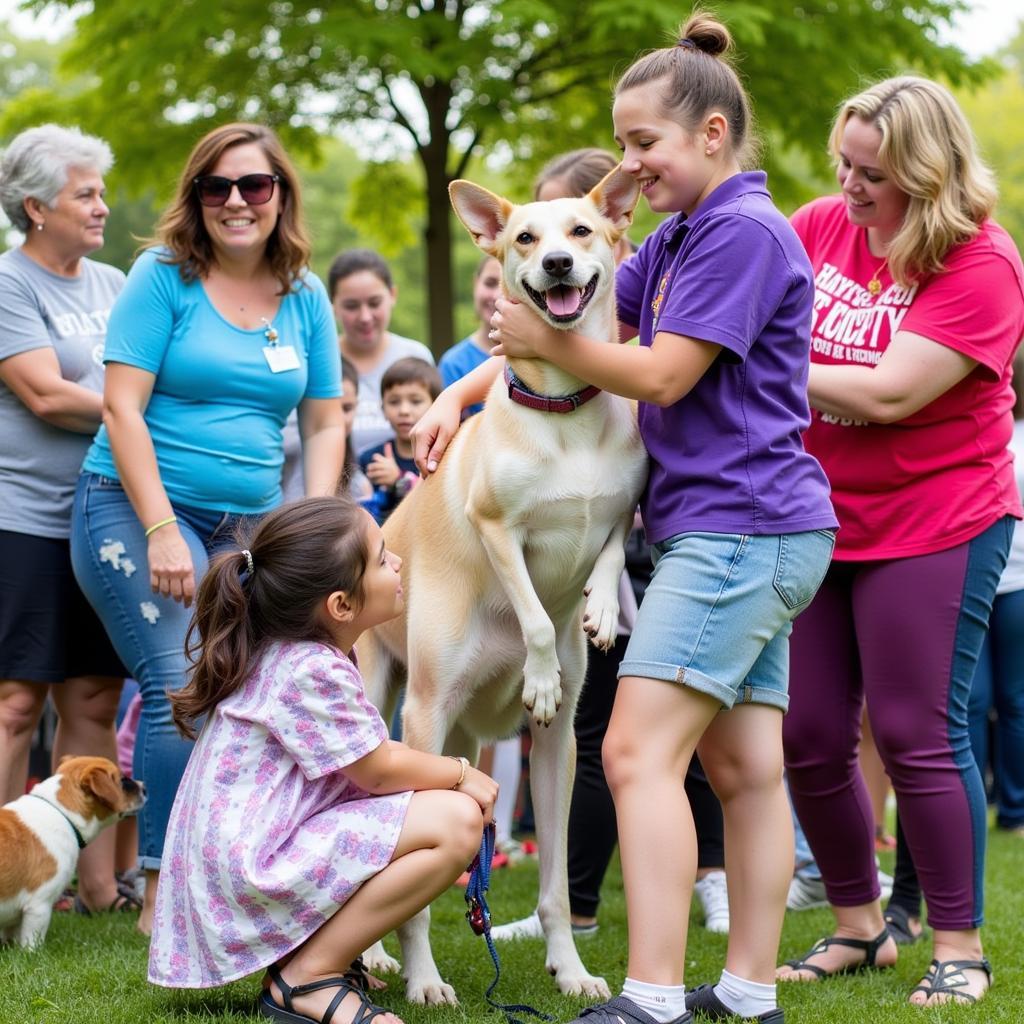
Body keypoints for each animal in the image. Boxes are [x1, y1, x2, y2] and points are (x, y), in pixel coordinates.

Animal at [0, 757, 146, 946]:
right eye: (123, 780)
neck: (61, 812)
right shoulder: (39, 905)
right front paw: (33, 952)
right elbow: (32, 942)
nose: (145, 787)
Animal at [360, 169, 647, 1007]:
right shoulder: (497, 527)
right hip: (409, 712)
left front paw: (570, 969)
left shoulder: (555, 750)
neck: (566, 409)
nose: (554, 263)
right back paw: (388, 962)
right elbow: (533, 607)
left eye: (581, 230)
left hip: (466, 742)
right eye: (524, 237)